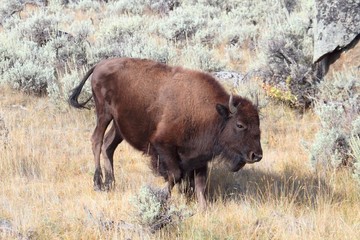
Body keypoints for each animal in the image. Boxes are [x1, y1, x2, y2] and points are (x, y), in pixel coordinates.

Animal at [69, 57, 262, 208]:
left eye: (258, 123)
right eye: (240, 125)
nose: (257, 155)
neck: (212, 113)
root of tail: (100, 64)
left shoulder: (200, 157)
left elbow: (200, 185)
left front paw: (203, 209)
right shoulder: (163, 145)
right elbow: (175, 175)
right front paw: (162, 199)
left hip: (118, 125)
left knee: (108, 146)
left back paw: (110, 183)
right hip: (104, 114)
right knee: (97, 140)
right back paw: (98, 183)